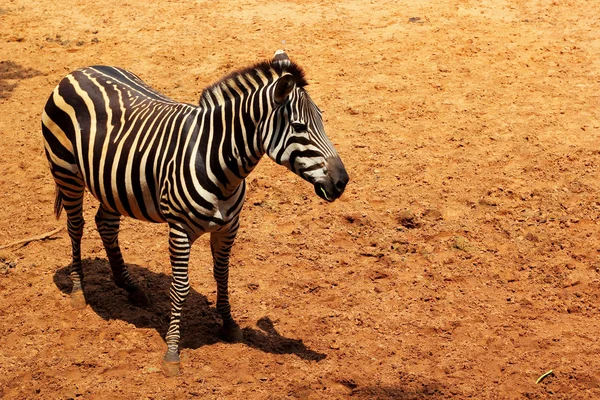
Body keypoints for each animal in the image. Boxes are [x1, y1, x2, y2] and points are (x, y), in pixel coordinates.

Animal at [42, 50, 350, 376]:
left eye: (322, 119)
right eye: (299, 127)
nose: (342, 182)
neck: (221, 164)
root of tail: (78, 70)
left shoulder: (229, 226)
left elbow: (223, 275)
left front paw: (228, 325)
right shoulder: (179, 229)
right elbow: (180, 288)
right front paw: (172, 352)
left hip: (113, 183)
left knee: (106, 224)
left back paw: (130, 286)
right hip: (66, 172)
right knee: (76, 227)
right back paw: (78, 290)